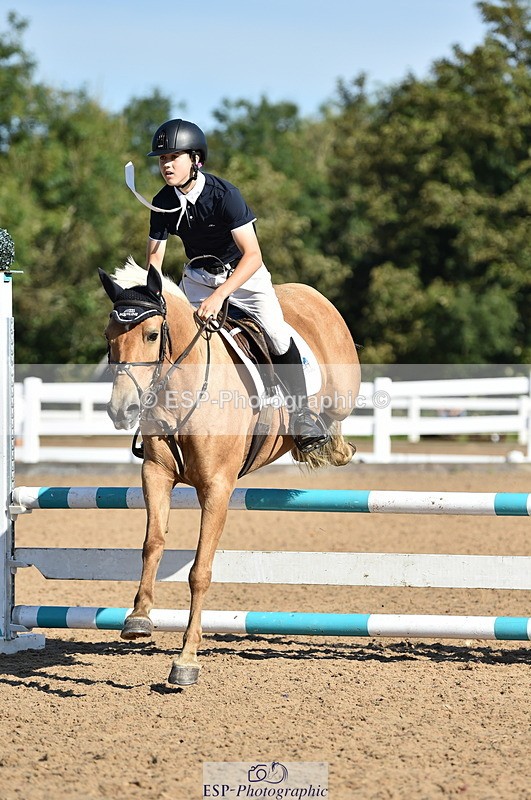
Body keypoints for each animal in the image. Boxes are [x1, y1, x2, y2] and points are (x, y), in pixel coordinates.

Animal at [99, 257, 360, 685]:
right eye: (109, 337)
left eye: (152, 335)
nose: (122, 410)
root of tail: (307, 291)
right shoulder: (156, 475)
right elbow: (153, 543)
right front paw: (138, 617)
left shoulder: (217, 488)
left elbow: (199, 572)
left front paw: (186, 660)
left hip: (341, 392)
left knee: (335, 418)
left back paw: (325, 442)